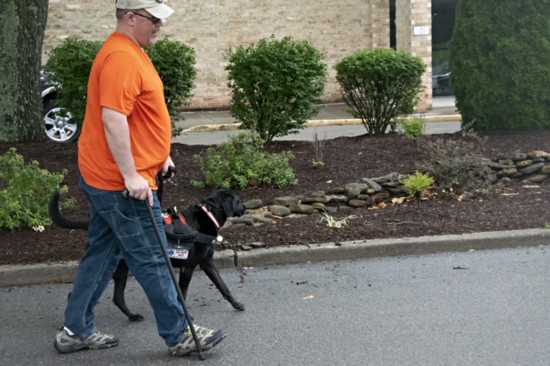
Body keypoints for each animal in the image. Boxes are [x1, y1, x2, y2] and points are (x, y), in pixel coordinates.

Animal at [49, 189, 248, 320]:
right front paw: (187, 317)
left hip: (121, 270)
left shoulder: (207, 263)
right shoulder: (187, 268)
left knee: (117, 297)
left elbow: (224, 287)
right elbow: (182, 295)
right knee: (77, 294)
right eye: (238, 200)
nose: (245, 208)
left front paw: (236, 304)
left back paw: (132, 317)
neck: (206, 215)